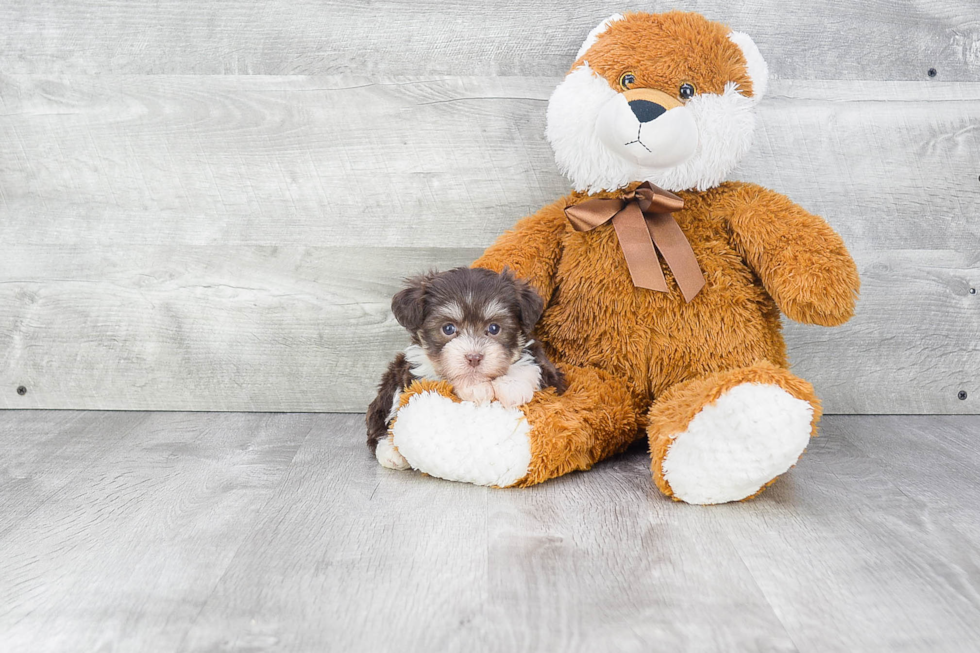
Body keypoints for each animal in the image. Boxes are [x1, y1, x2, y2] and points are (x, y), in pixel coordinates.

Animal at [368, 266, 568, 468]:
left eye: (494, 328)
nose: (474, 357)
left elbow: (530, 365)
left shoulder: (550, 373)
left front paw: (513, 386)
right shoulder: (417, 372)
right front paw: (475, 388)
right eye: (448, 328)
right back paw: (391, 450)